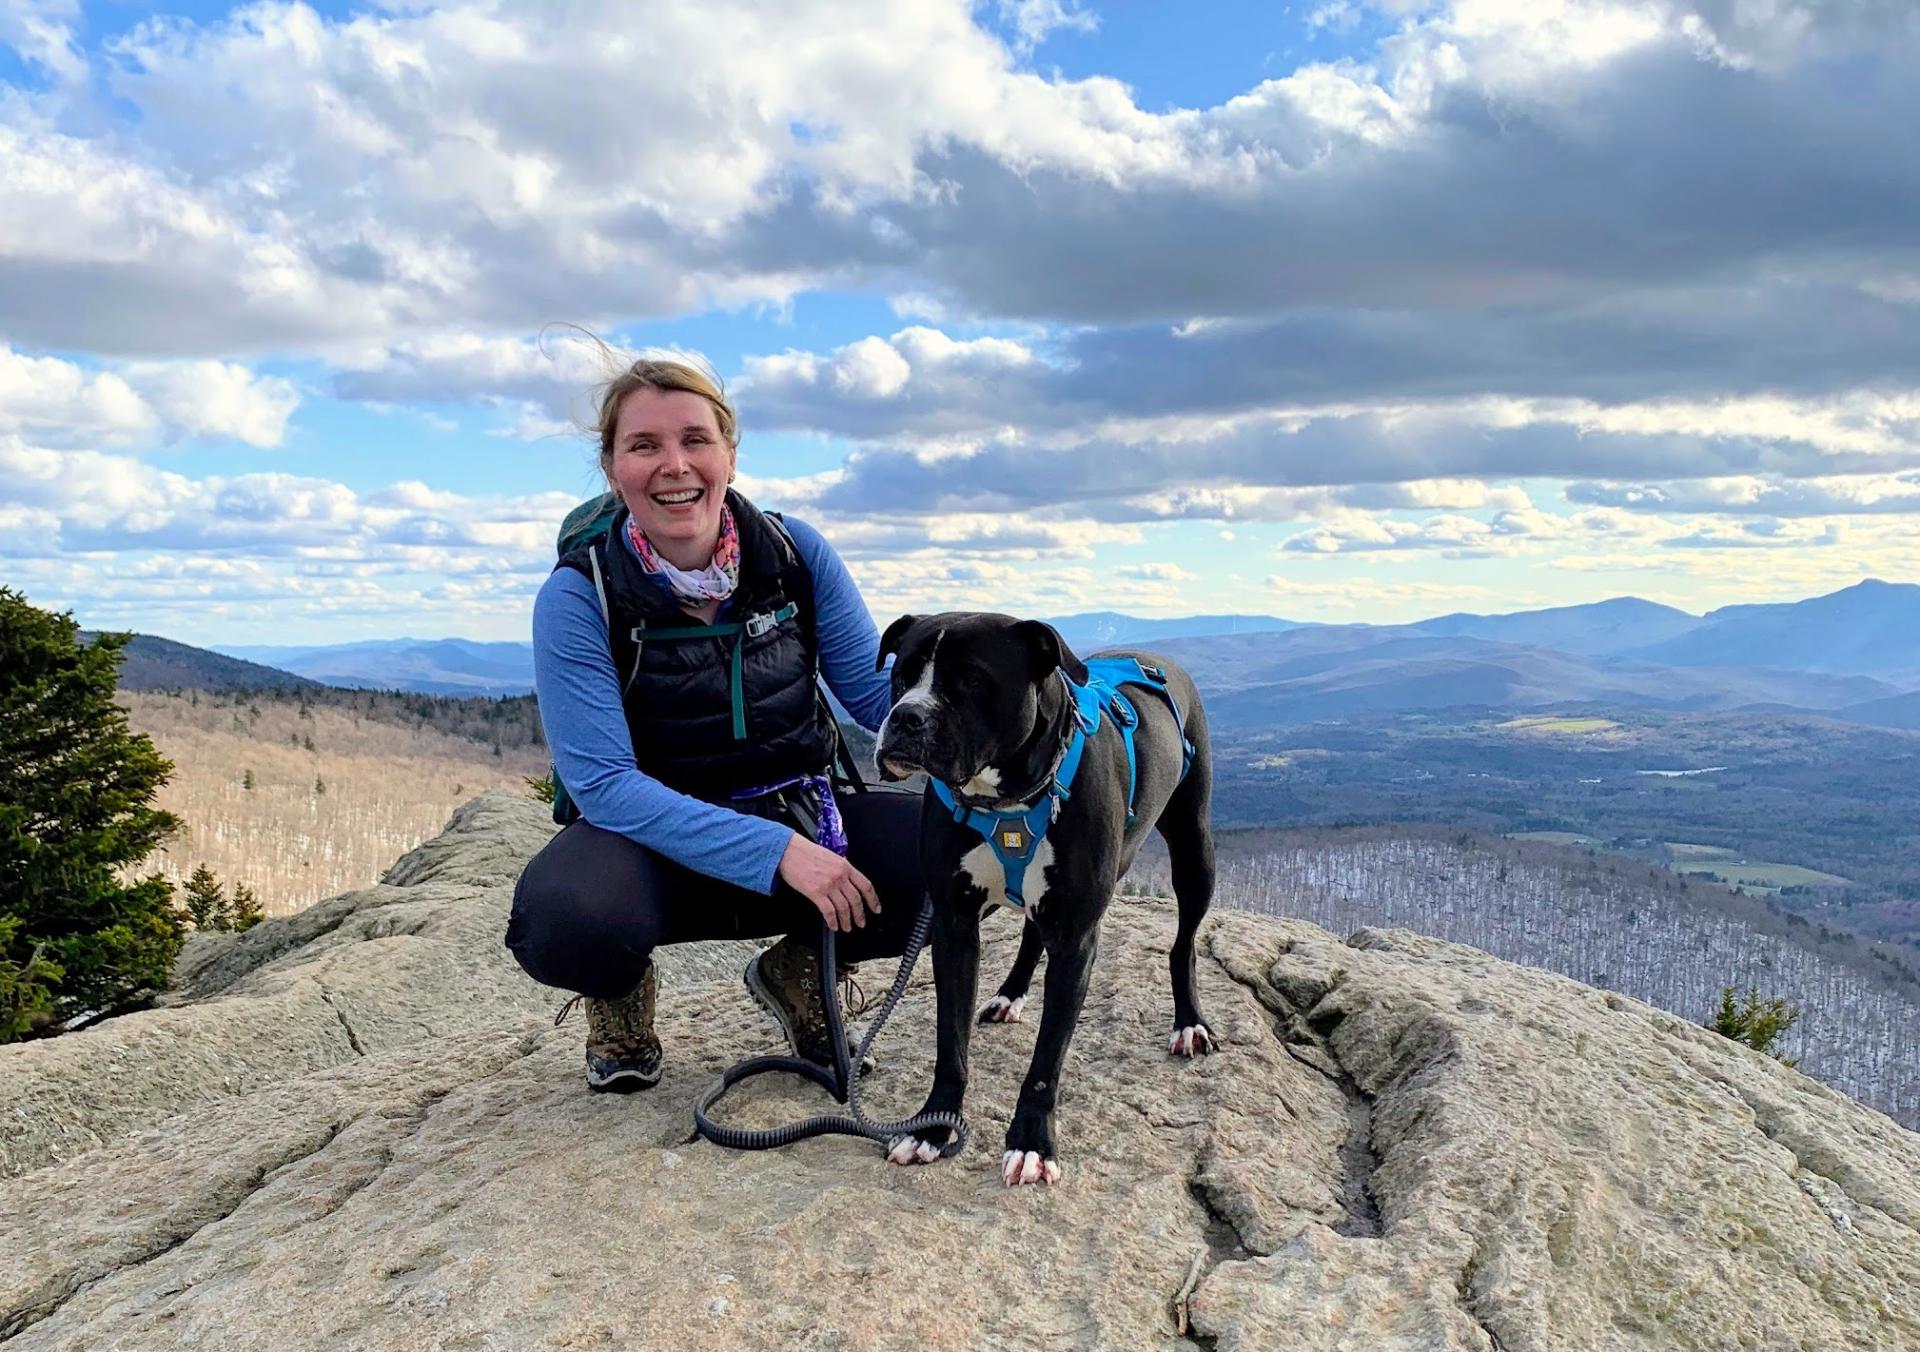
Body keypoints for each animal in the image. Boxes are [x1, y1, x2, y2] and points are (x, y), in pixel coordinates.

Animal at [875, 614, 1213, 1183]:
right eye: (902, 676)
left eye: (971, 679)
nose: (904, 718)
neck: (1006, 800)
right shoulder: (953, 924)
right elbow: (950, 1041)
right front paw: (934, 1127)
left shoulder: (1076, 941)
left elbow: (1046, 1058)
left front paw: (1032, 1142)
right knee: (1033, 929)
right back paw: (1009, 992)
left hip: (1195, 849)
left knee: (1184, 941)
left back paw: (1189, 1022)